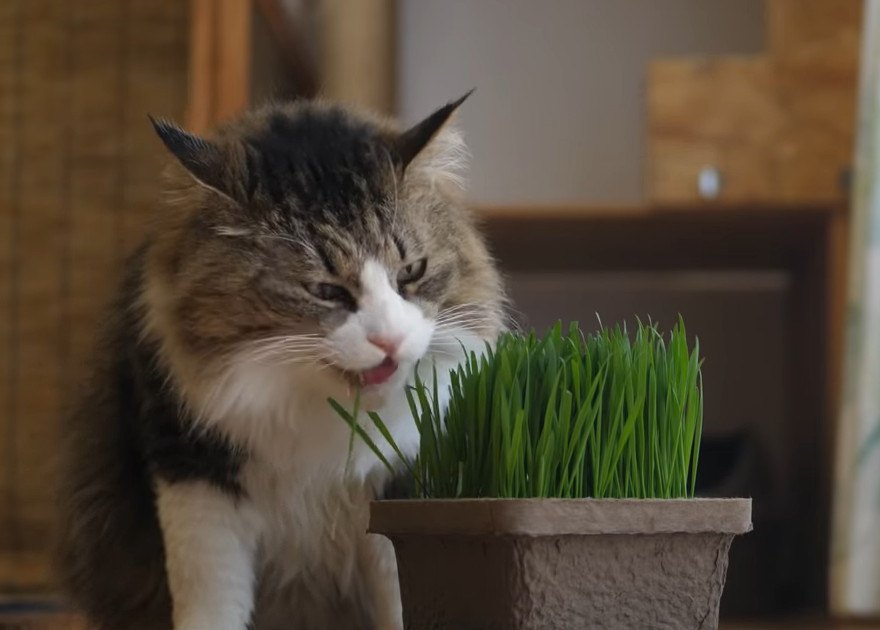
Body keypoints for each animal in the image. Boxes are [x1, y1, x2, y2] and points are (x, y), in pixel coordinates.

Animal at [55, 95, 506, 630]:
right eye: (326, 291)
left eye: (411, 272)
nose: (390, 341)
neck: (321, 418)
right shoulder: (193, 471)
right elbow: (211, 600)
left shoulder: (402, 478)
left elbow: (399, 597)